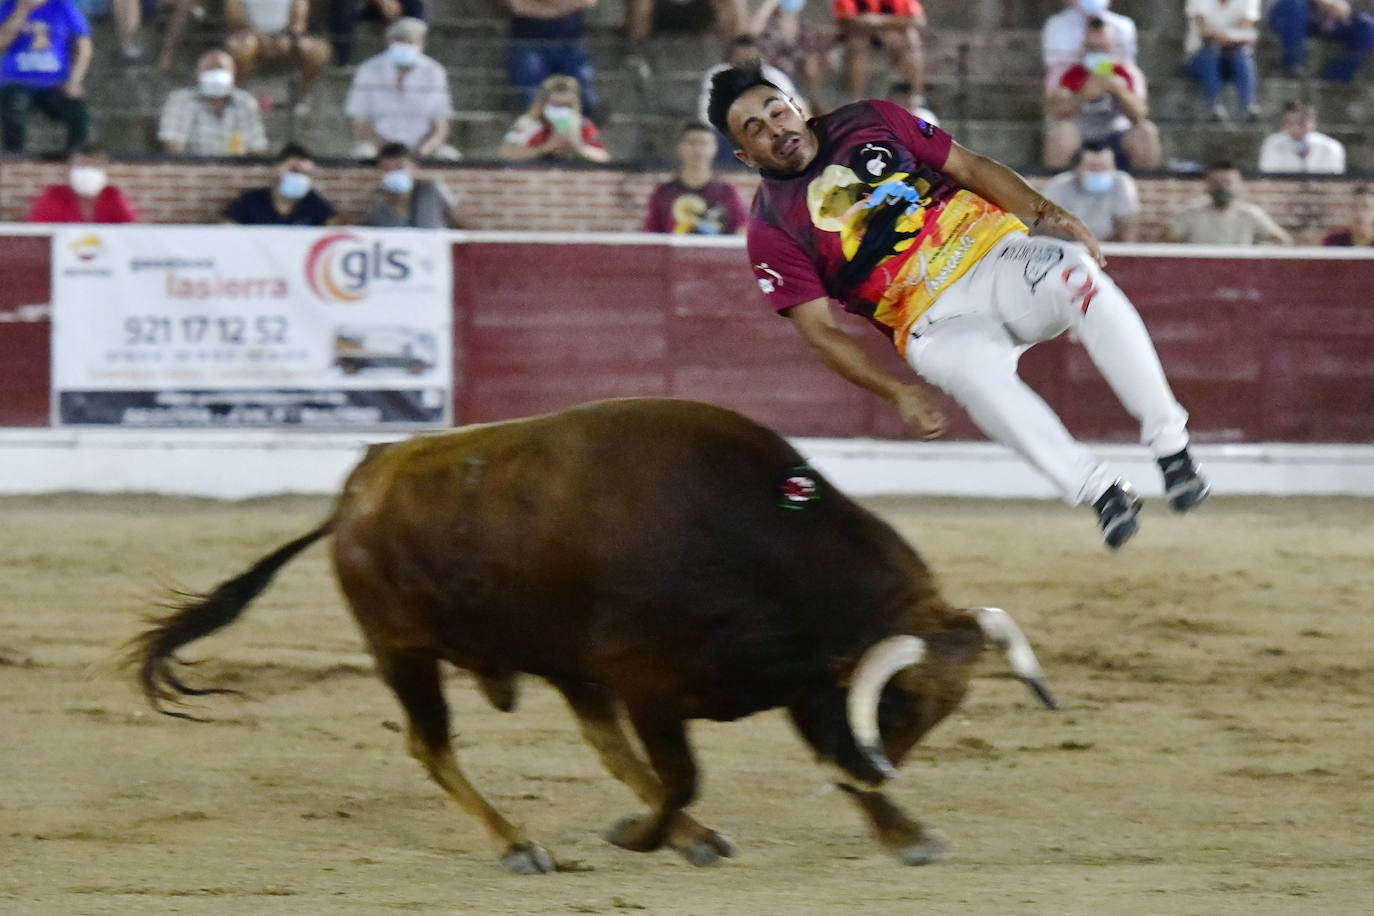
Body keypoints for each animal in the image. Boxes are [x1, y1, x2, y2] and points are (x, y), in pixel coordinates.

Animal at [126, 398, 1049, 873]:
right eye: (903, 699)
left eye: (943, 706)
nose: (883, 763)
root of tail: (363, 479)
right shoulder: (652, 682)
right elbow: (682, 774)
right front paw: (639, 836)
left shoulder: (794, 680)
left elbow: (795, 758)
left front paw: (906, 833)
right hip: (404, 649)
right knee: (433, 746)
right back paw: (517, 844)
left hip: (559, 661)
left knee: (599, 745)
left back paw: (686, 837)